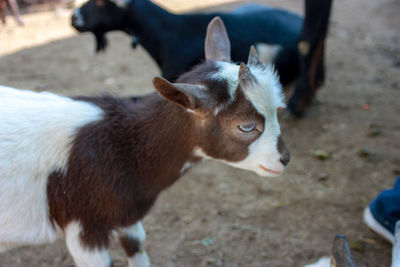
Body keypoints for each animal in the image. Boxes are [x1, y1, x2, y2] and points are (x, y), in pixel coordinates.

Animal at [0, 17, 290, 266]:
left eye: (278, 110)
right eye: (246, 126)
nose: (284, 159)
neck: (124, 147)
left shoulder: (127, 215)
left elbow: (136, 246)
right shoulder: (85, 226)